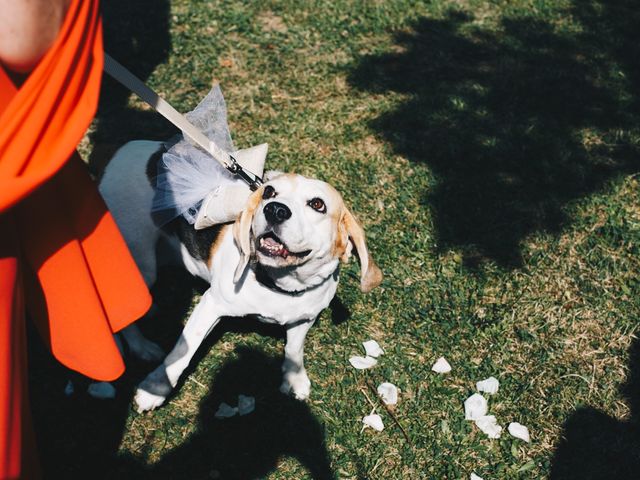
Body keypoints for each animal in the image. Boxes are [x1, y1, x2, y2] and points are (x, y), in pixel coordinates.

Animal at [99, 140, 380, 412]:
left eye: (317, 204)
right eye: (269, 192)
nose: (275, 209)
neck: (279, 284)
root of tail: (126, 150)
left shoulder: (304, 317)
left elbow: (294, 348)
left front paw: (294, 377)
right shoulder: (210, 305)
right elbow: (182, 353)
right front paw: (155, 389)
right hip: (141, 262)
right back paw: (141, 347)